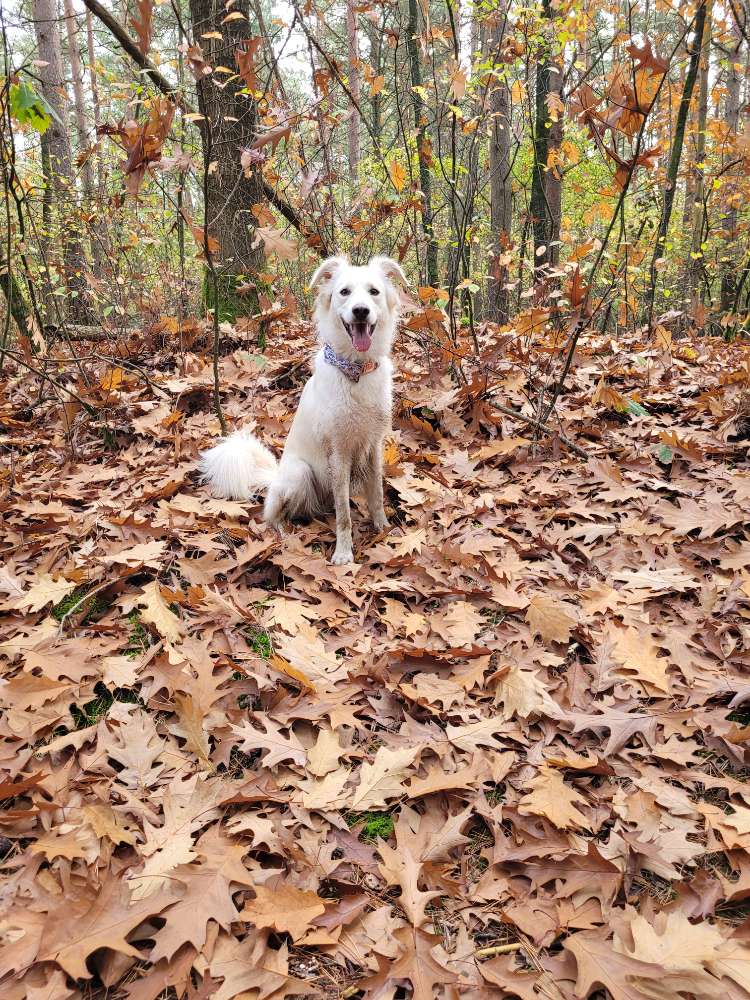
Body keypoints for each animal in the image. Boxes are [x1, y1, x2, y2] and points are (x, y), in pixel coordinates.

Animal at [200, 256, 408, 564]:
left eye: (374, 292)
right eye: (344, 292)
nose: (361, 311)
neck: (356, 371)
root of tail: (275, 476)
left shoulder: (374, 446)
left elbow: (376, 493)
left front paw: (382, 527)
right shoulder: (338, 453)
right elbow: (344, 515)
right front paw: (344, 552)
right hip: (299, 473)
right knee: (271, 517)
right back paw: (284, 536)